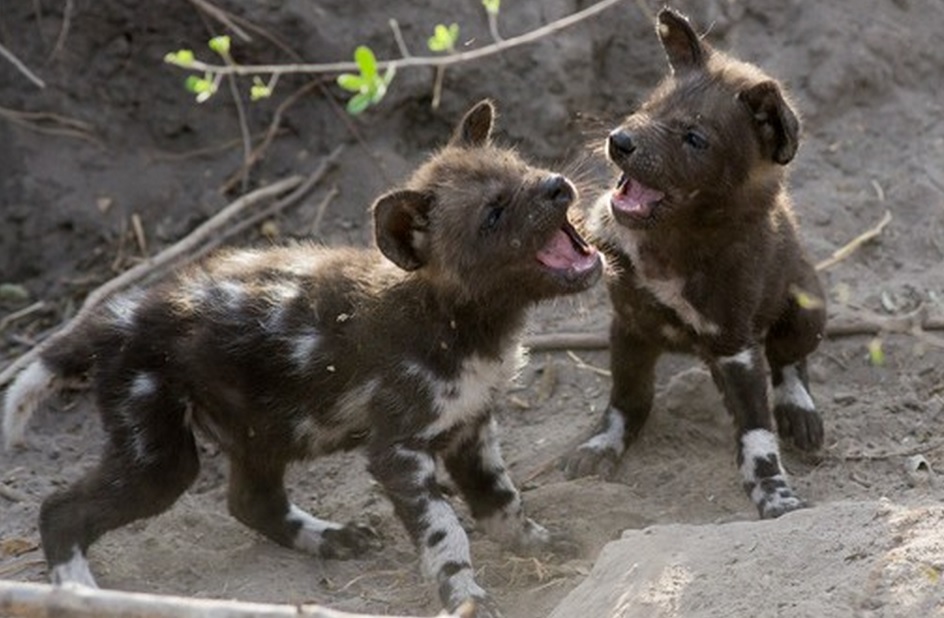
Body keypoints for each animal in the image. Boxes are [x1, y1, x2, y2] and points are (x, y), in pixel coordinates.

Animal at [3, 98, 600, 612]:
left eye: (520, 167)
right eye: (494, 214)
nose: (555, 186)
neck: (459, 321)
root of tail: (119, 314)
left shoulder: (472, 425)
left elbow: (502, 502)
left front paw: (543, 545)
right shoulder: (400, 452)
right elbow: (446, 533)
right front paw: (466, 597)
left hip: (260, 429)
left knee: (250, 501)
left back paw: (329, 538)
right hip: (160, 460)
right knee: (59, 512)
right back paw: (78, 594)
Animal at [568, 8, 824, 520]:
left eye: (694, 138)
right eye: (647, 108)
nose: (619, 141)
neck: (673, 242)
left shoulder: (736, 348)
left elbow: (758, 436)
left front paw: (776, 493)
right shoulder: (630, 326)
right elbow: (627, 401)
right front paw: (602, 446)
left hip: (809, 309)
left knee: (790, 359)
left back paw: (799, 408)